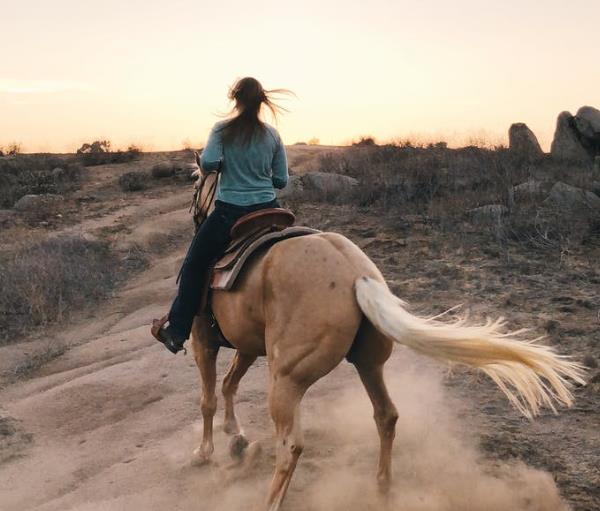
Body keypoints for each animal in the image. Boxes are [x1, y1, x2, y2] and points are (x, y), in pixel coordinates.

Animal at [185, 169, 584, 511]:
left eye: (195, 182)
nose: (196, 213)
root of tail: (356, 274)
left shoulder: (202, 337)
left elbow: (207, 397)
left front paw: (205, 451)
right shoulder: (246, 344)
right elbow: (229, 383)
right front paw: (235, 437)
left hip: (287, 378)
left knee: (291, 445)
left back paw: (270, 501)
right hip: (369, 363)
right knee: (386, 415)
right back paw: (382, 487)